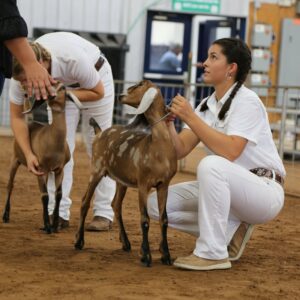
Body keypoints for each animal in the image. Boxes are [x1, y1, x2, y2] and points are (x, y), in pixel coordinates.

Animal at [3, 84, 73, 234]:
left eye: (62, 88)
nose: (52, 94)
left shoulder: (59, 169)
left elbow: (58, 194)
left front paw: (55, 225)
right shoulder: (39, 168)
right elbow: (45, 195)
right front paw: (47, 226)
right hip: (15, 159)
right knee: (10, 185)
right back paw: (5, 216)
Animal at [75, 80, 178, 268]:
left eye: (140, 85)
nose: (120, 96)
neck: (157, 146)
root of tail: (100, 133)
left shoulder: (163, 185)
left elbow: (164, 219)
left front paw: (166, 256)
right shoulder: (143, 184)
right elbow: (144, 220)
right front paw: (146, 256)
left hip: (121, 181)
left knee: (116, 204)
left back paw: (126, 243)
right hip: (96, 170)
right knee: (85, 201)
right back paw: (79, 242)